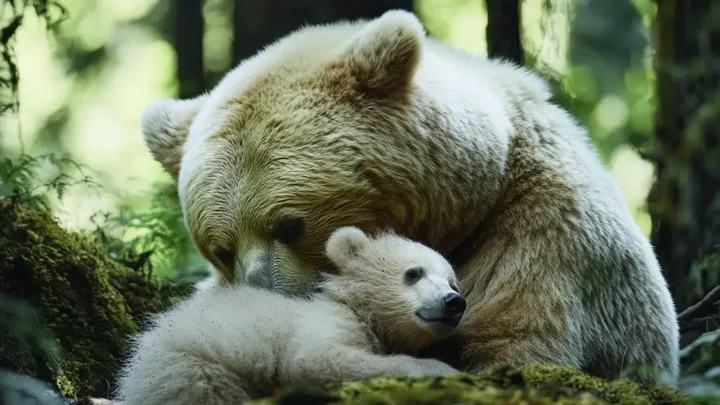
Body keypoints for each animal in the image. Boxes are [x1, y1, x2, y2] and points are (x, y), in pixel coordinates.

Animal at [112, 227, 465, 405]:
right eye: (413, 273)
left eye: (452, 282)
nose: (454, 302)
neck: (356, 307)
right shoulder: (327, 321)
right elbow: (315, 359)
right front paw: (441, 369)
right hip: (187, 367)